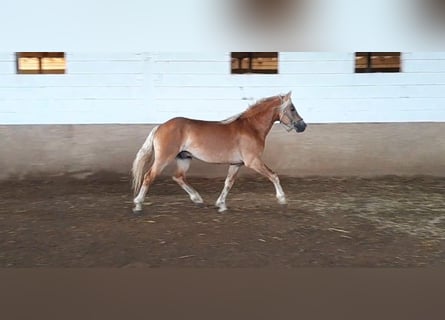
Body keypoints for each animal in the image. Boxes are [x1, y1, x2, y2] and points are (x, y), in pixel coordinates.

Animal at [130, 90, 306, 214]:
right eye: (292, 108)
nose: (302, 126)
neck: (251, 128)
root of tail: (160, 126)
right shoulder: (253, 161)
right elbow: (274, 176)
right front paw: (282, 199)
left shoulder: (236, 164)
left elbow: (228, 183)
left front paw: (221, 205)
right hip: (163, 158)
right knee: (148, 177)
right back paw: (138, 205)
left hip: (184, 158)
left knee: (178, 177)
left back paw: (197, 199)